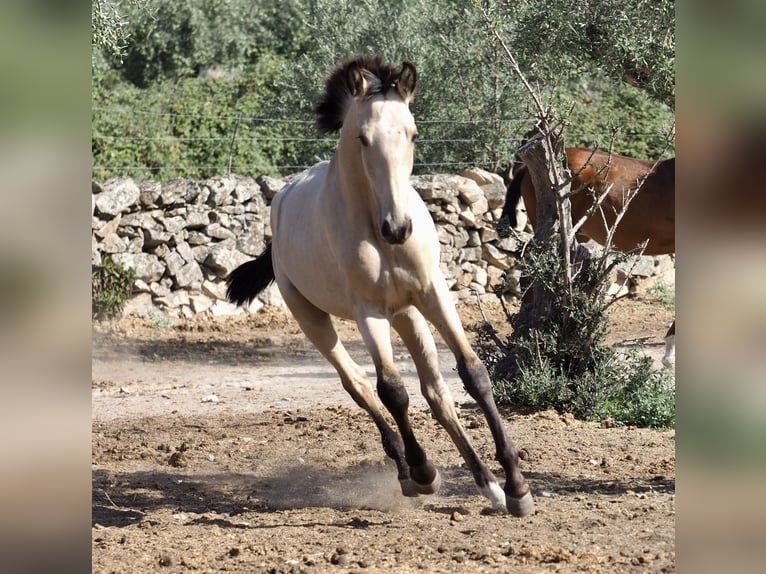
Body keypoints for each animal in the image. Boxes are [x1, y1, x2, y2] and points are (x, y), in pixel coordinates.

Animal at [230, 57, 536, 516]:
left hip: (407, 313)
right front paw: (425, 472)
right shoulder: (367, 311)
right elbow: (391, 390)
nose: (398, 227)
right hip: (312, 317)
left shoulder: (433, 294)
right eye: (363, 137)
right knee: (358, 384)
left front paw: (517, 488)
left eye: (413, 133)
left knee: (436, 391)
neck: (375, 225)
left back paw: (488, 486)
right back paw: (408, 473)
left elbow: (473, 373)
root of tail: (281, 200)